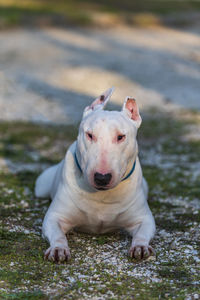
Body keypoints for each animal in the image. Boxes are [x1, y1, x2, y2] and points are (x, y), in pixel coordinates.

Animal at [35, 88, 155, 262]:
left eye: (121, 137)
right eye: (90, 135)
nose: (102, 177)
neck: (102, 196)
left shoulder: (143, 219)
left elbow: (143, 233)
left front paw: (140, 247)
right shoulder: (54, 217)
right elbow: (58, 234)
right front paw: (58, 249)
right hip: (41, 186)